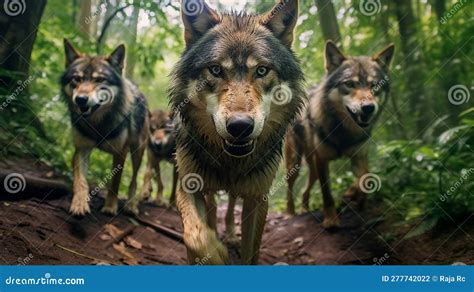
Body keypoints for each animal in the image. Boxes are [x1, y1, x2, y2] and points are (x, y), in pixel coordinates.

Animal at [60, 40, 148, 216]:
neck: (97, 124)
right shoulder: (81, 149)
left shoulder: (121, 152)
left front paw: (110, 207)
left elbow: (115, 183)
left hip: (138, 152)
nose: (81, 99)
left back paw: (131, 205)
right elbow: (81, 181)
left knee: (134, 180)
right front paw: (79, 204)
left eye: (99, 80)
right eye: (77, 79)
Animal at [168, 0, 306, 264]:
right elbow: (194, 235)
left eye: (262, 70)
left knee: (231, 202)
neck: (229, 161)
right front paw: (215, 252)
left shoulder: (257, 197)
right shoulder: (188, 186)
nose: (240, 126)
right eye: (215, 70)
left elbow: (250, 252)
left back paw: (230, 235)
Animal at [286, 41, 392, 228]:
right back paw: (290, 213)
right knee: (289, 187)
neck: (344, 132)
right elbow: (327, 194)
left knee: (305, 189)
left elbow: (367, 178)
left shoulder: (359, 156)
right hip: (295, 163)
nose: (368, 108)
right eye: (349, 84)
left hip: (312, 167)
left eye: (374, 86)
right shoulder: (322, 160)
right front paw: (331, 221)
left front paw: (353, 196)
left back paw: (304, 209)